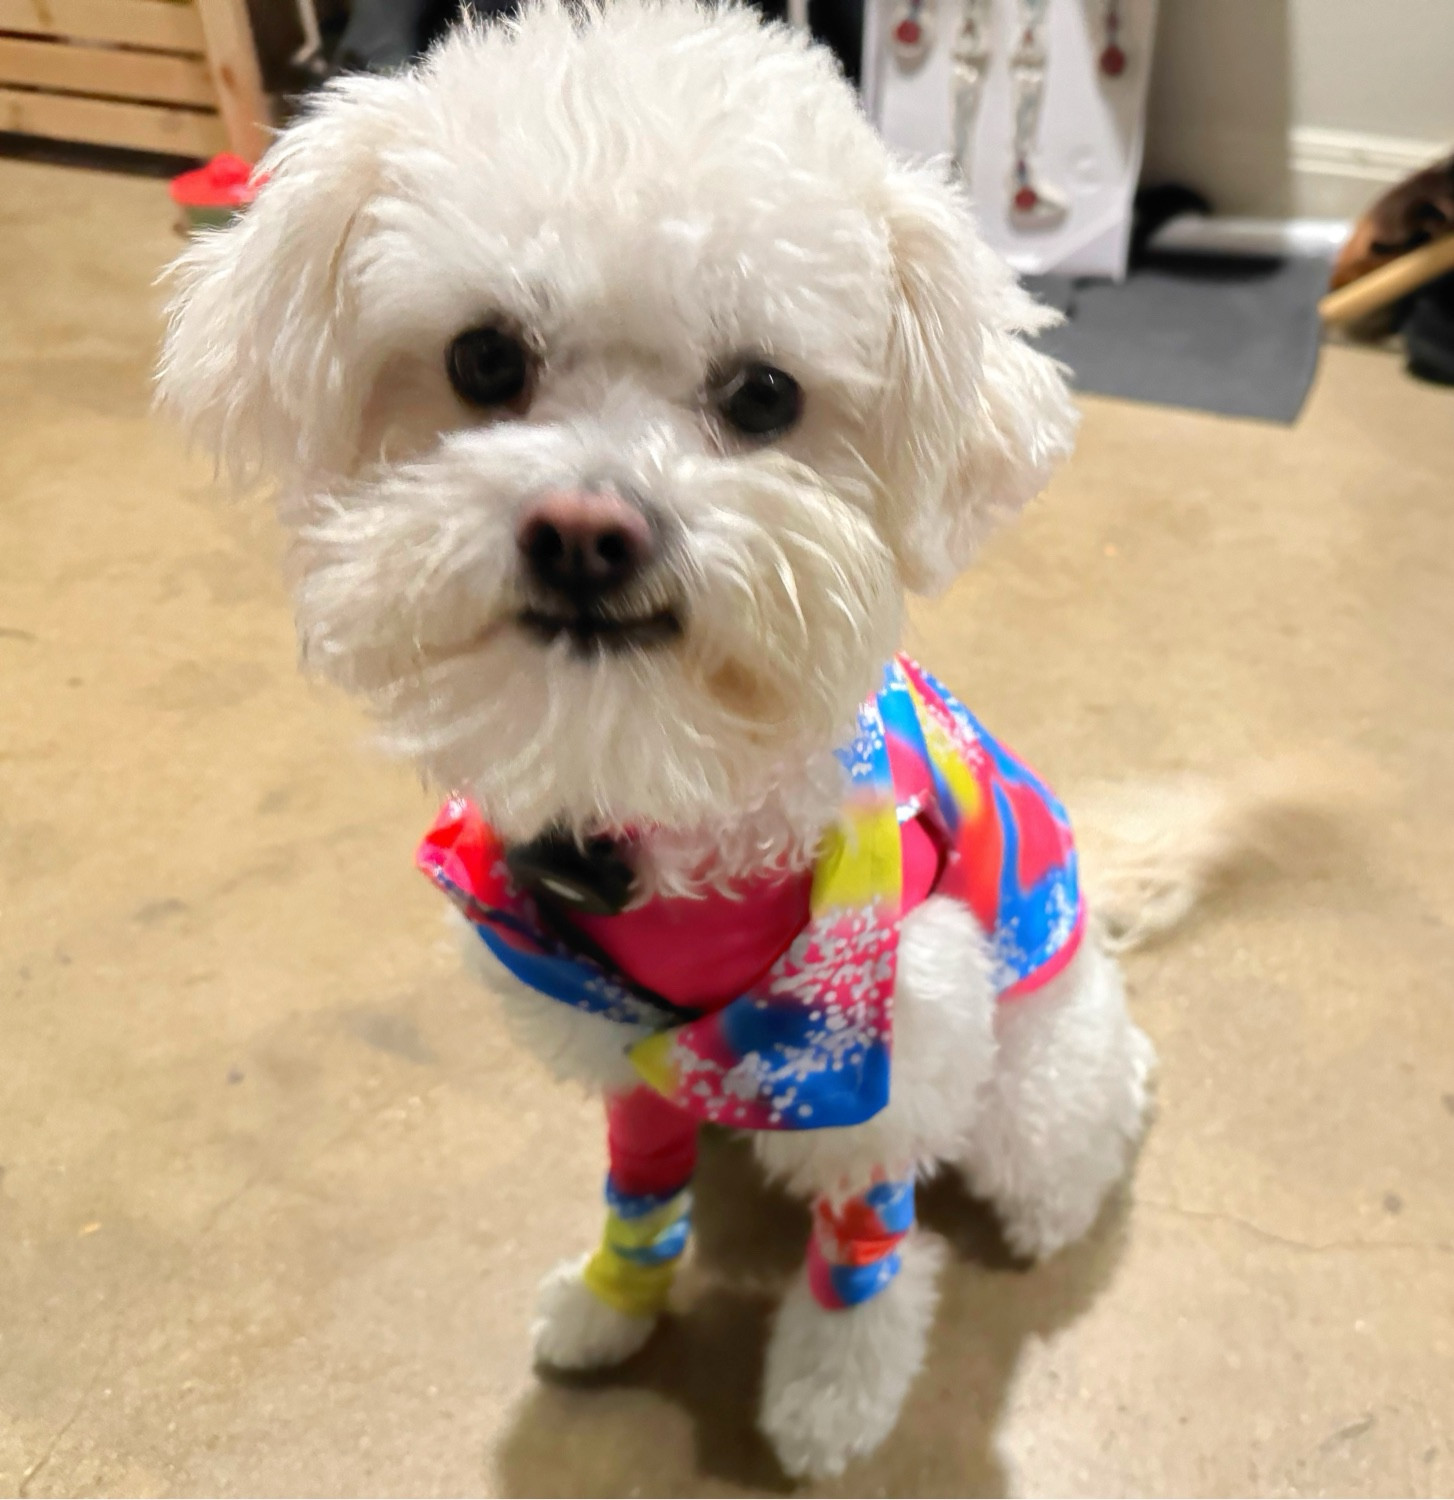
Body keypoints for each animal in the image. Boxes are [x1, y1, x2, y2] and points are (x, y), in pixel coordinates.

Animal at [162, 2, 1194, 1476]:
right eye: (484, 359)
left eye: (761, 395)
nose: (586, 531)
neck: (659, 790)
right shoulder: (623, 1057)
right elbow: (636, 1195)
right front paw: (615, 1304)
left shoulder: (874, 1059)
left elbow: (862, 1263)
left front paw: (830, 1396)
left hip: (1028, 1091)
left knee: (1070, 1135)